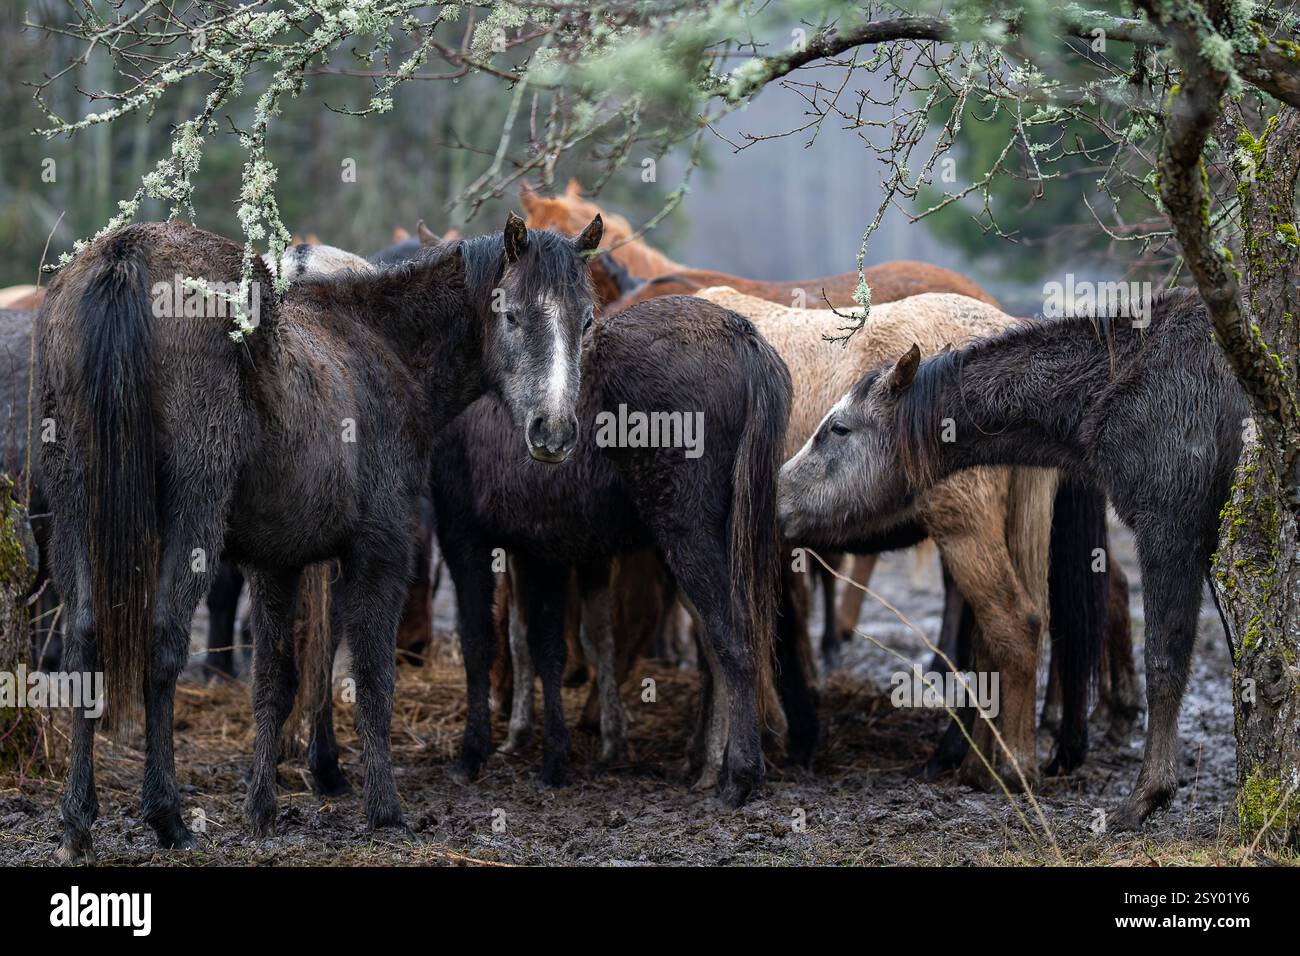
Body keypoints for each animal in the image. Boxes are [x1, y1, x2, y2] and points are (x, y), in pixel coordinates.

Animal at [37, 211, 602, 860]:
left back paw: (78, 819)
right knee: (164, 640)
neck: (380, 347)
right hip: (192, 513)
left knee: (83, 639)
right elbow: (374, 679)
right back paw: (168, 816)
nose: (552, 432)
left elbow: (275, 681)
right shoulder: (382, 550)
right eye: (510, 314)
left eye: (586, 319)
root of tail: (126, 252)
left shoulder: (275, 563)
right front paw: (385, 811)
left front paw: (262, 807)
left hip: (76, 509)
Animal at [778, 287, 1245, 827]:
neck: (1121, 382)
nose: (778, 490)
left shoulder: (1170, 530)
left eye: (838, 429)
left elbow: (1166, 663)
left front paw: (1148, 794)